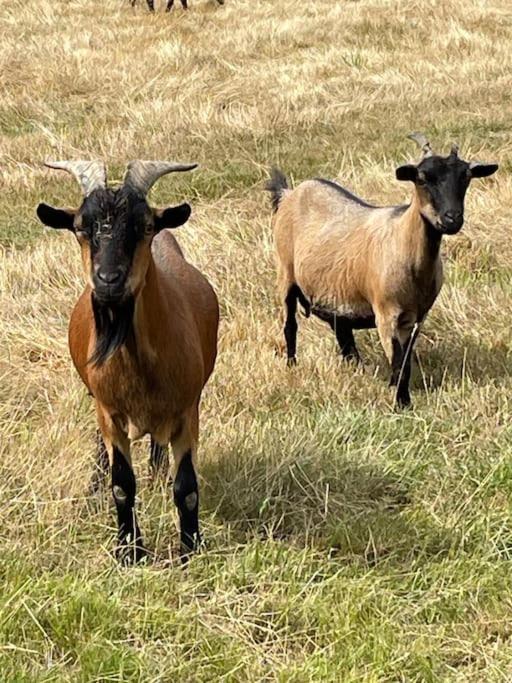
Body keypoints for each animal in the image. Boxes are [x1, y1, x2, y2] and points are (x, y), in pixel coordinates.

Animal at [37, 162, 218, 568]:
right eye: (80, 228)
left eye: (146, 226)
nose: (108, 280)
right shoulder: (110, 414)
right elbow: (121, 484)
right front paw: (129, 551)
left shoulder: (188, 411)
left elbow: (186, 488)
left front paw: (189, 548)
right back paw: (94, 490)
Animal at [270, 136, 498, 408]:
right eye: (422, 178)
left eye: (466, 177)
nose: (452, 219)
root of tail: (289, 193)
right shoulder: (386, 313)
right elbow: (399, 364)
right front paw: (402, 403)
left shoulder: (416, 318)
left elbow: (405, 362)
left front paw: (397, 392)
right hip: (285, 274)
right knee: (290, 326)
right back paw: (292, 366)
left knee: (342, 332)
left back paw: (355, 368)